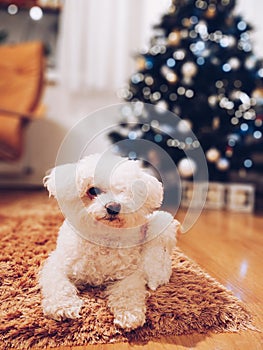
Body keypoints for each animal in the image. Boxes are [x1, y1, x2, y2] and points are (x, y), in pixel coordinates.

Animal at [38, 154, 179, 330]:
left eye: (128, 192)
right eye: (93, 191)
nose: (113, 207)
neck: (102, 237)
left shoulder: (129, 274)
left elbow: (128, 292)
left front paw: (129, 314)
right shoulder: (57, 265)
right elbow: (58, 284)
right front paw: (63, 306)